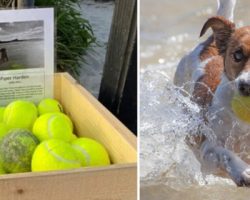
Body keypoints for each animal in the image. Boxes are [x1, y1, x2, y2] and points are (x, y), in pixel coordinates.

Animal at [175, 0, 250, 187]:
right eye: (238, 55)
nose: (246, 86)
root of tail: (211, 42)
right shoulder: (207, 150)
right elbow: (224, 153)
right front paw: (243, 172)